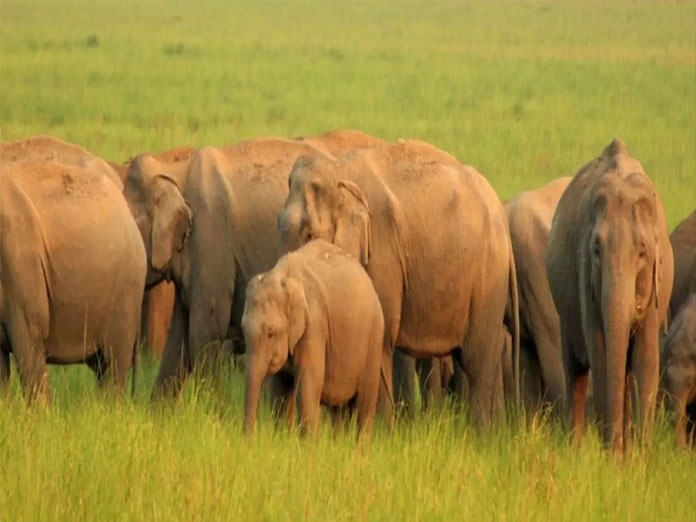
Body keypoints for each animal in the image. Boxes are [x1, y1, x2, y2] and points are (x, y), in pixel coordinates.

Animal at [243, 239, 386, 434]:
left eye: (271, 334)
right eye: (243, 330)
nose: (250, 437)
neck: (283, 276)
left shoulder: (315, 325)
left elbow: (307, 388)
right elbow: (280, 391)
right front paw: (281, 436)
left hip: (374, 339)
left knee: (365, 405)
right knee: (338, 412)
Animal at [276, 140, 516, 428]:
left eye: (310, 235)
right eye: (277, 225)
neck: (339, 169)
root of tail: (500, 210)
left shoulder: (383, 249)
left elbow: (382, 334)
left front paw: (382, 432)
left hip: (488, 277)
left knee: (476, 361)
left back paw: (480, 433)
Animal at [548, 139, 676, 450]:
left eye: (642, 252)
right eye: (596, 249)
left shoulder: (656, 286)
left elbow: (647, 359)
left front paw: (638, 457)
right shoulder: (585, 277)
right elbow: (600, 350)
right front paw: (612, 457)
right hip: (565, 314)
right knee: (576, 372)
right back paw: (575, 450)